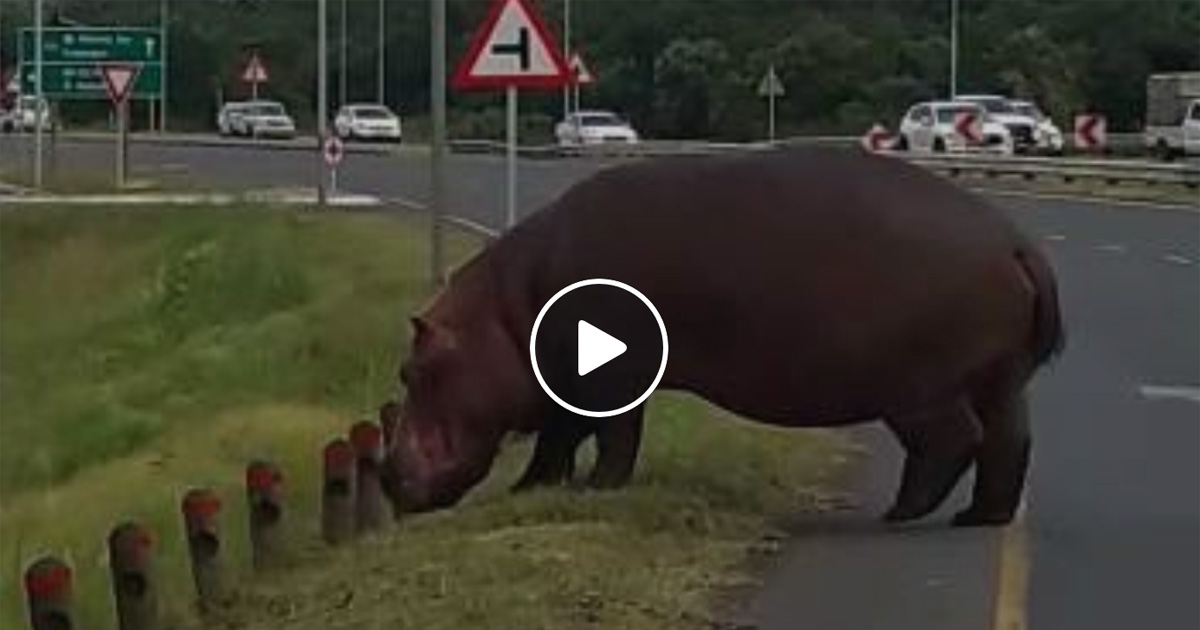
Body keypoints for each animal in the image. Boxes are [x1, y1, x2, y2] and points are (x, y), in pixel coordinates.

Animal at [381, 146, 1060, 525]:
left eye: (412, 371)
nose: (387, 481)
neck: (505, 312)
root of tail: (1014, 240)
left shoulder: (604, 380)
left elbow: (604, 438)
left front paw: (594, 491)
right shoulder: (569, 386)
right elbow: (560, 438)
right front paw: (532, 490)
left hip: (919, 387)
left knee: (952, 442)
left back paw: (901, 514)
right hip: (1000, 378)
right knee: (1010, 443)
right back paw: (977, 518)